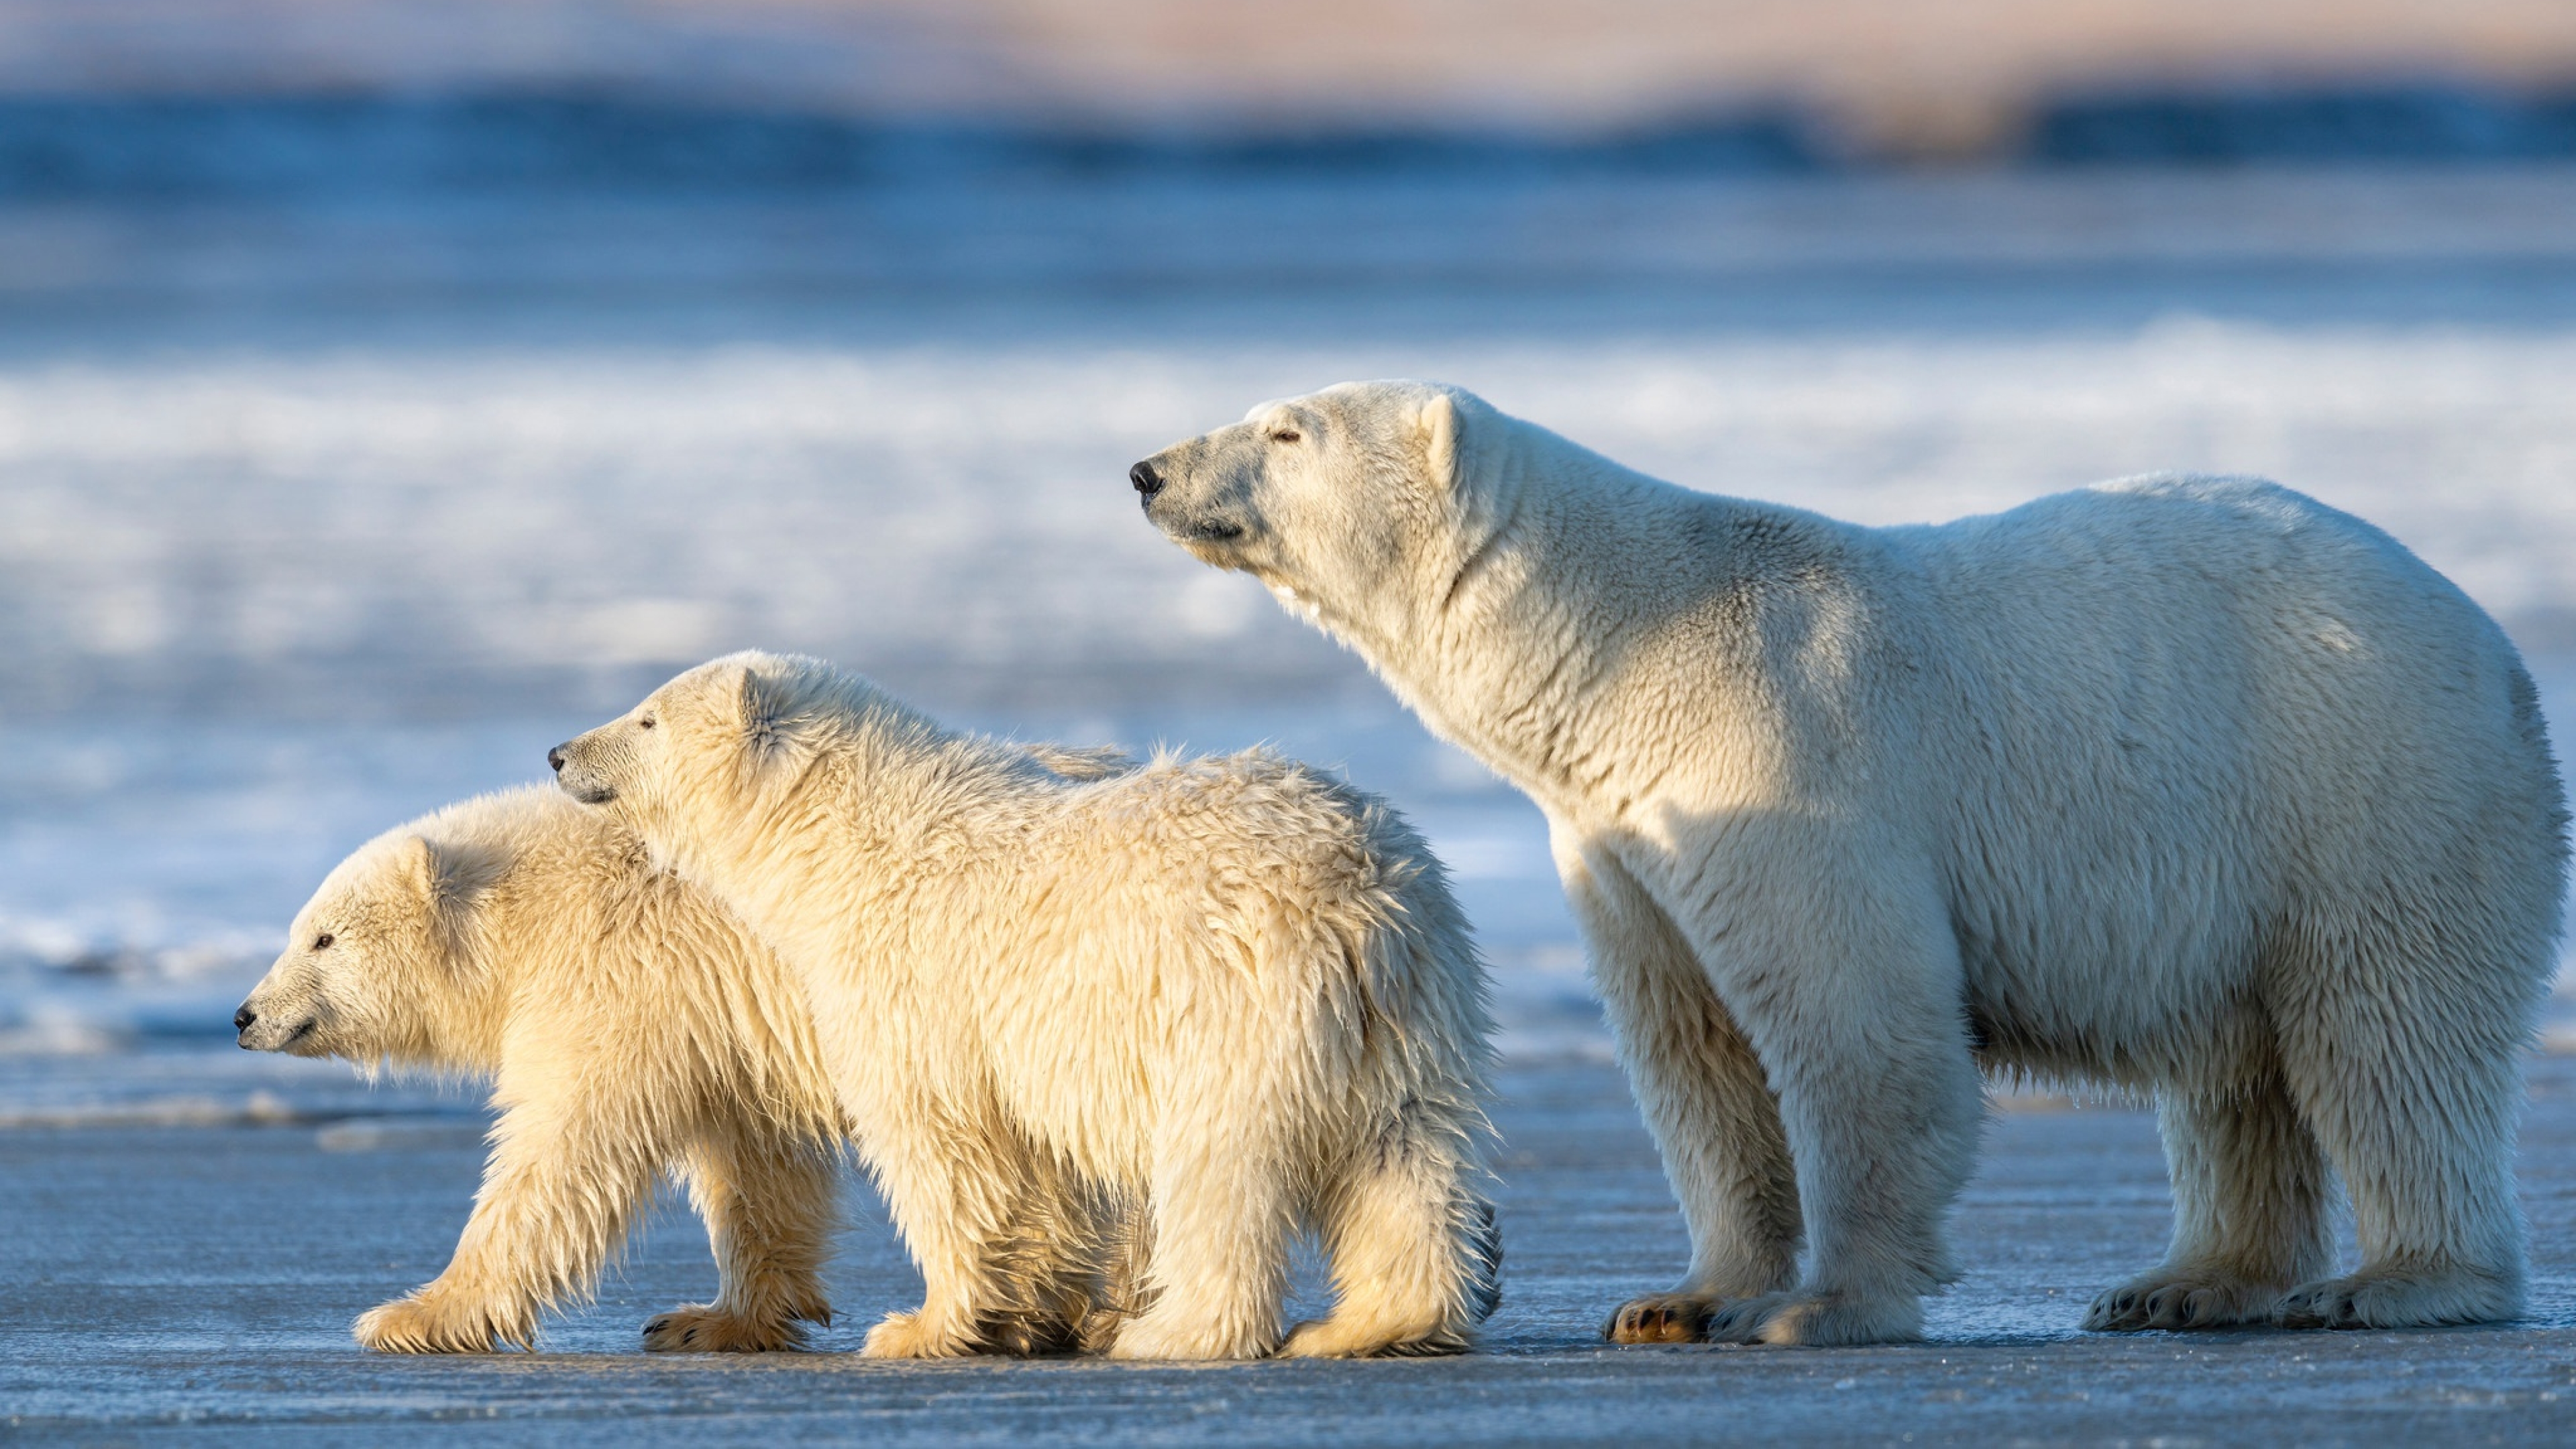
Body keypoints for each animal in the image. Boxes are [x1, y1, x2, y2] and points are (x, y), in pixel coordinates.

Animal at [553, 649, 1504, 1361]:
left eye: (648, 717)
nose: (561, 752)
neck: (854, 840)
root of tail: (1360, 898)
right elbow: (1037, 1170)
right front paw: (1025, 1314)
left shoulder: (914, 980)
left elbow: (944, 1151)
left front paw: (918, 1326)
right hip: (1416, 1014)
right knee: (1403, 1158)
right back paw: (1371, 1324)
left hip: (1233, 1006)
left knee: (1220, 1168)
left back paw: (1176, 1331)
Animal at [1138, 374, 2565, 1340]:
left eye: (1288, 429)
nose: (1150, 468)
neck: (1625, 651)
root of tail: (2494, 643)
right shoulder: (1621, 838)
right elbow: (1694, 1050)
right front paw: (1678, 1301)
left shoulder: (1782, 750)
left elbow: (1852, 1019)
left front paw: (1821, 1307)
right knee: (2236, 1069)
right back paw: (2185, 1285)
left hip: (2361, 788)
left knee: (2388, 1033)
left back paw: (2398, 1282)